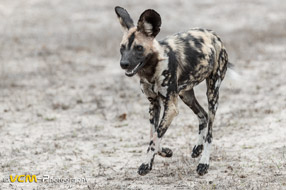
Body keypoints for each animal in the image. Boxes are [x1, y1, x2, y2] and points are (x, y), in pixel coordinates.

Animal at [115, 6, 229, 176]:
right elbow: (153, 135)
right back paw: (198, 148)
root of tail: (214, 35)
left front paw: (145, 164)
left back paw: (204, 163)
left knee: (210, 130)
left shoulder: (171, 107)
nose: (124, 64)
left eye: (139, 48)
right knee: (203, 115)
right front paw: (163, 153)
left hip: (212, 94)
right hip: (185, 95)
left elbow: (155, 137)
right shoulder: (154, 105)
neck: (151, 71)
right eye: (122, 48)